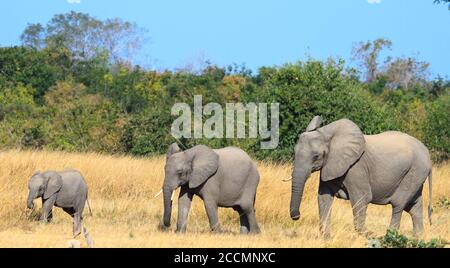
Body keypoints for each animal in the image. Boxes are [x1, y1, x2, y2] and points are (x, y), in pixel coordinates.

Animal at [288, 116, 432, 238]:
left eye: (316, 156)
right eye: (294, 153)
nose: (297, 216)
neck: (327, 133)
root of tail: (428, 154)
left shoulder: (356, 168)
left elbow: (362, 198)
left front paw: (367, 235)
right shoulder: (330, 166)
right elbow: (324, 197)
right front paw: (327, 238)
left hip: (415, 171)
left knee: (398, 203)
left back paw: (389, 236)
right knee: (414, 207)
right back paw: (418, 238)